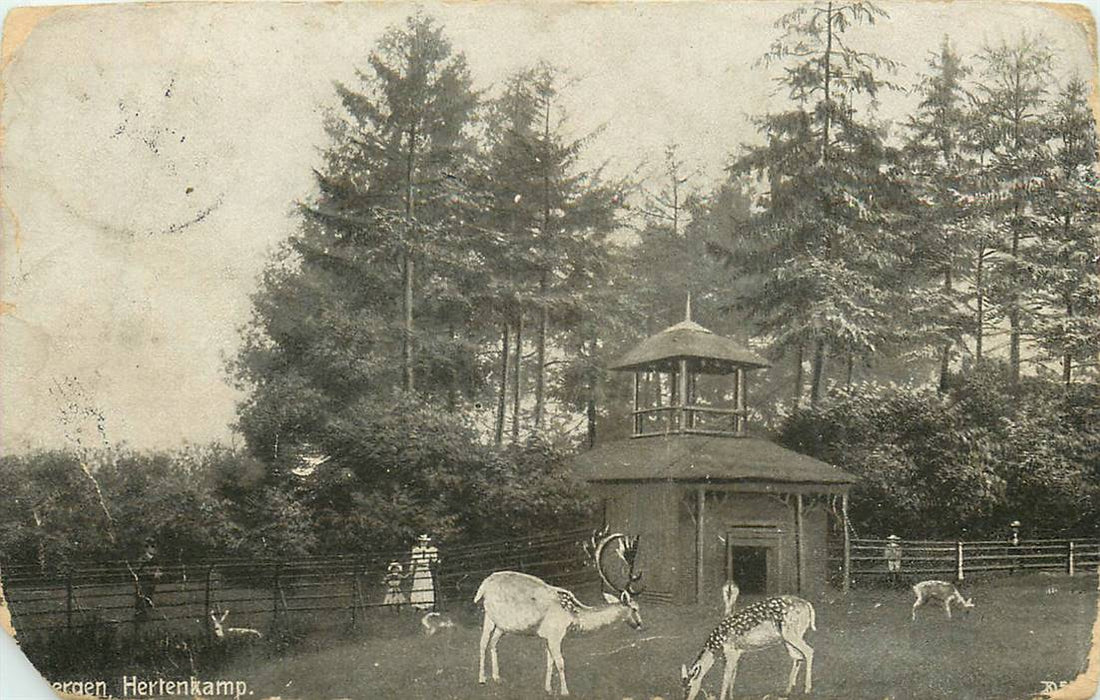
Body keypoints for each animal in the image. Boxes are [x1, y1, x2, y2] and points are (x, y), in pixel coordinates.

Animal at [473, 530, 642, 695]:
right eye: (635, 608)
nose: (640, 625)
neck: (573, 616)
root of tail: (484, 584)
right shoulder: (555, 635)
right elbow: (560, 662)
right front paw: (565, 692)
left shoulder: (549, 636)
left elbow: (550, 662)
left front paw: (548, 689)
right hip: (488, 615)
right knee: (483, 642)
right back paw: (482, 679)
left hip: (503, 625)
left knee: (493, 642)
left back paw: (497, 677)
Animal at [677, 594, 818, 700]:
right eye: (682, 687)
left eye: (689, 686)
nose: (685, 698)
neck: (716, 645)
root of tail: (808, 605)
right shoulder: (737, 652)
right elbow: (733, 675)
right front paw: (731, 696)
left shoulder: (730, 651)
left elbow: (726, 677)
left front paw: (723, 697)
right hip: (789, 637)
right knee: (797, 656)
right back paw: (788, 690)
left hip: (791, 633)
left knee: (809, 651)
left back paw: (807, 689)